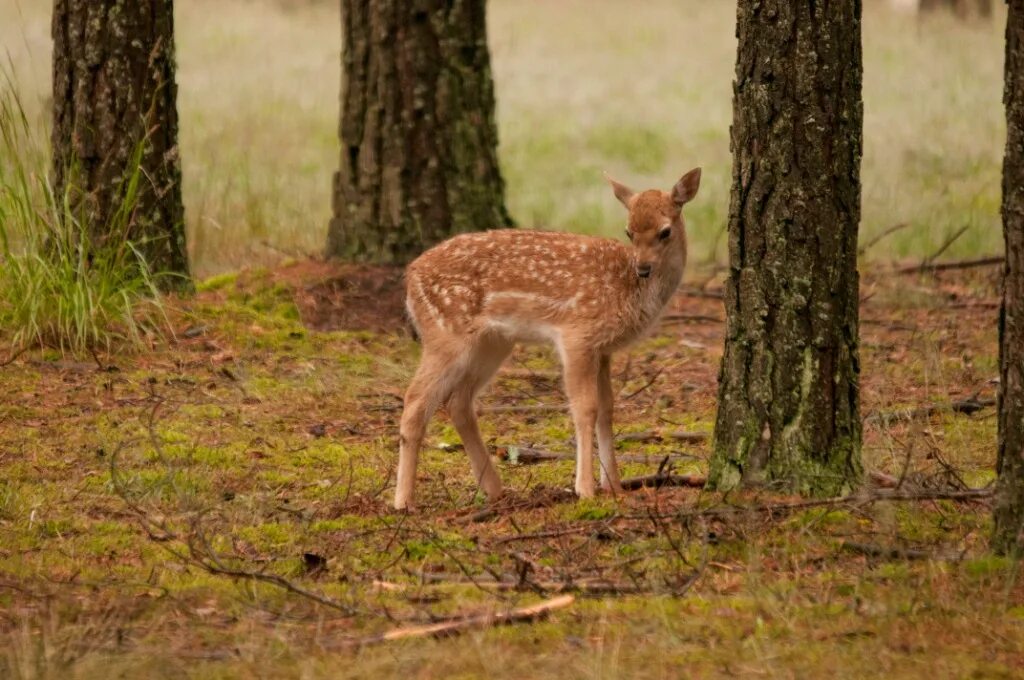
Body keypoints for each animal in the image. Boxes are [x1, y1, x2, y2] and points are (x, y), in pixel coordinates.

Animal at [389, 170, 696, 510]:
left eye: (665, 231)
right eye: (628, 231)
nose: (643, 268)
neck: (629, 290)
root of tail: (410, 275)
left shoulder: (603, 350)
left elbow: (607, 409)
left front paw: (613, 485)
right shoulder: (577, 335)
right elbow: (584, 408)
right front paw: (585, 489)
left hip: (491, 343)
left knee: (458, 402)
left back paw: (494, 490)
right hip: (446, 333)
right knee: (415, 400)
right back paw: (403, 501)